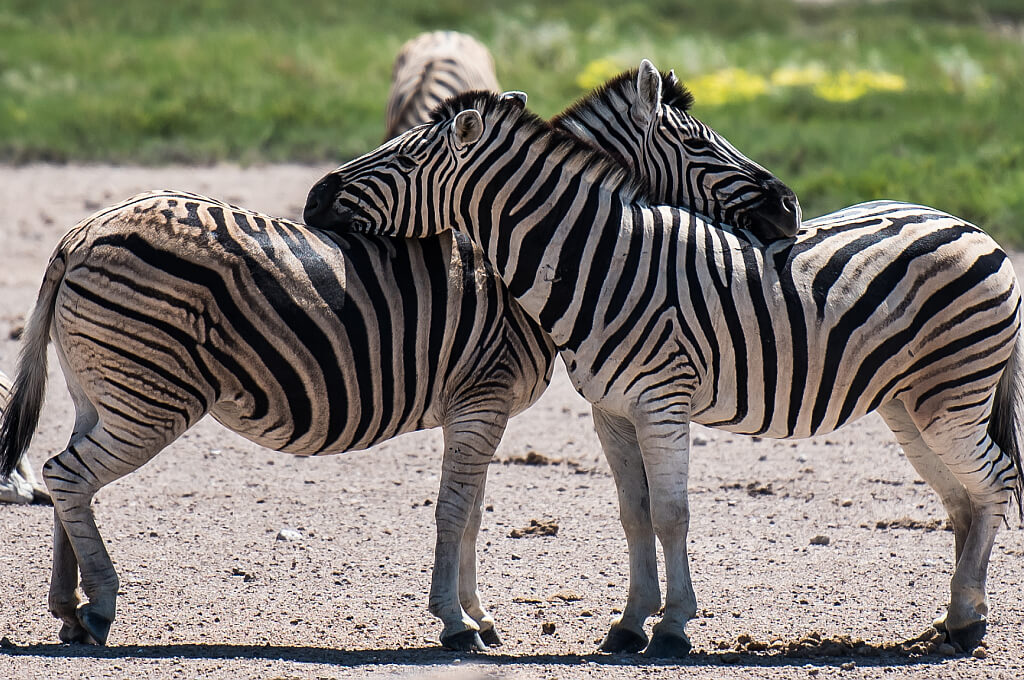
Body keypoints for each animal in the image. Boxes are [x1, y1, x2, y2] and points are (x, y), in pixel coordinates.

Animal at [304, 90, 1024, 657]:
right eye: (699, 142)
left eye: (404, 159)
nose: (312, 199)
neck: (599, 260)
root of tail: (972, 227)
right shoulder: (611, 410)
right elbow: (634, 512)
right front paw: (628, 626)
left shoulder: (661, 402)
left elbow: (673, 513)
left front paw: (673, 627)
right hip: (911, 406)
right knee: (963, 496)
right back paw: (958, 616)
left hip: (951, 400)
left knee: (996, 480)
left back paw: (968, 623)